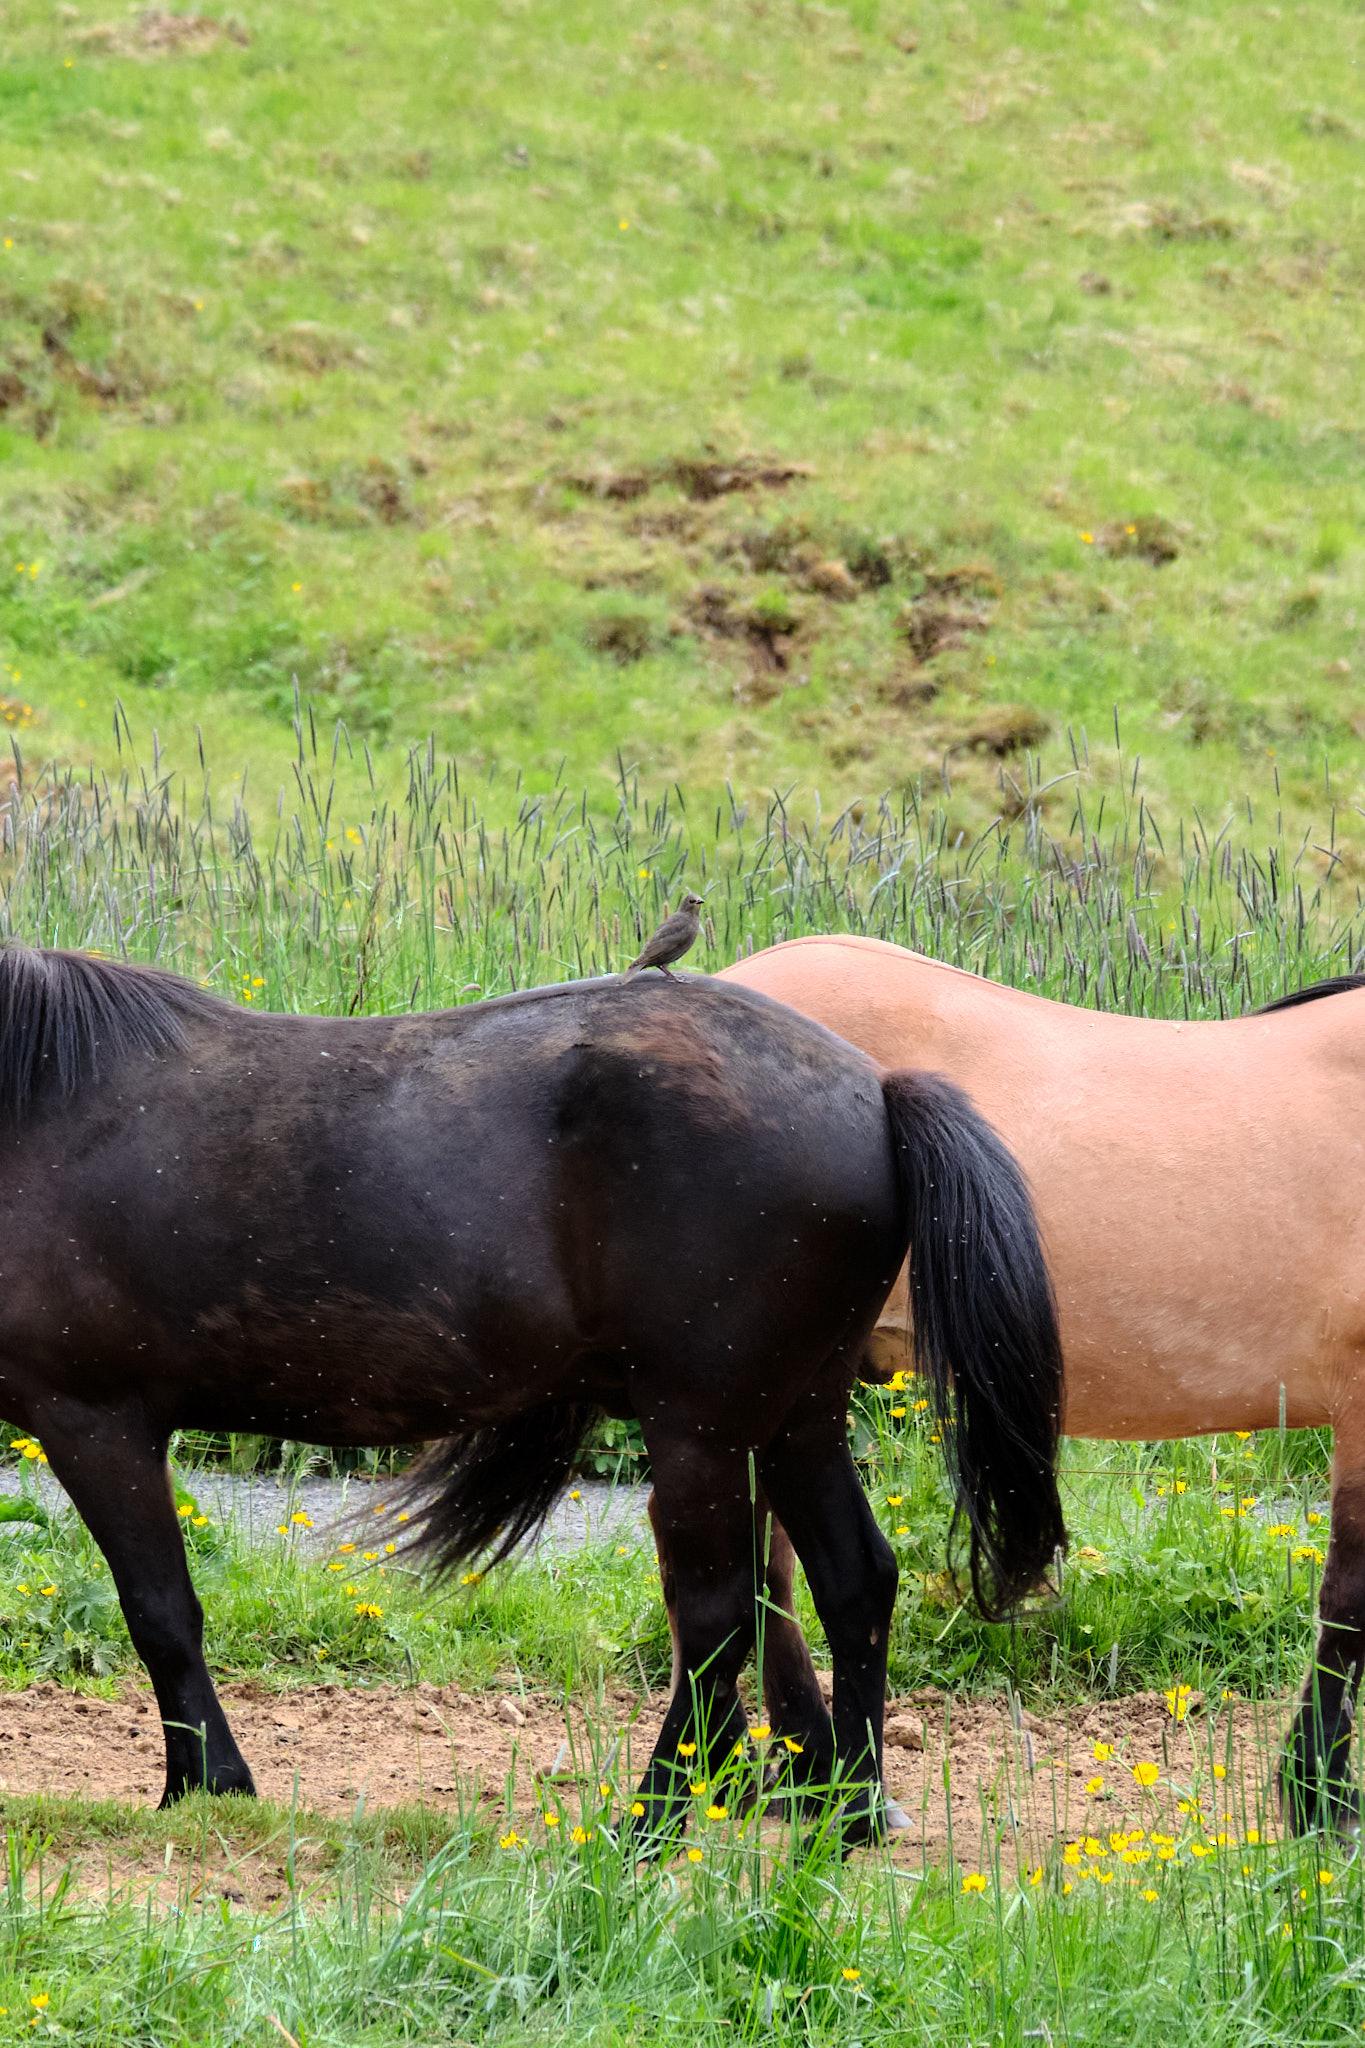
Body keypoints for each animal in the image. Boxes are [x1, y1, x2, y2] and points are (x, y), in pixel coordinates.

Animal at [0, 943, 1064, 1839]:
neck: (39, 1100)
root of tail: (874, 1090)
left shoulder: (94, 1421)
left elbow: (160, 1609)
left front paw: (206, 1787)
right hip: (795, 1419)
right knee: (850, 1580)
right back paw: (848, 1815)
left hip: (702, 1428)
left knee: (716, 1614)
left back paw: (653, 1820)